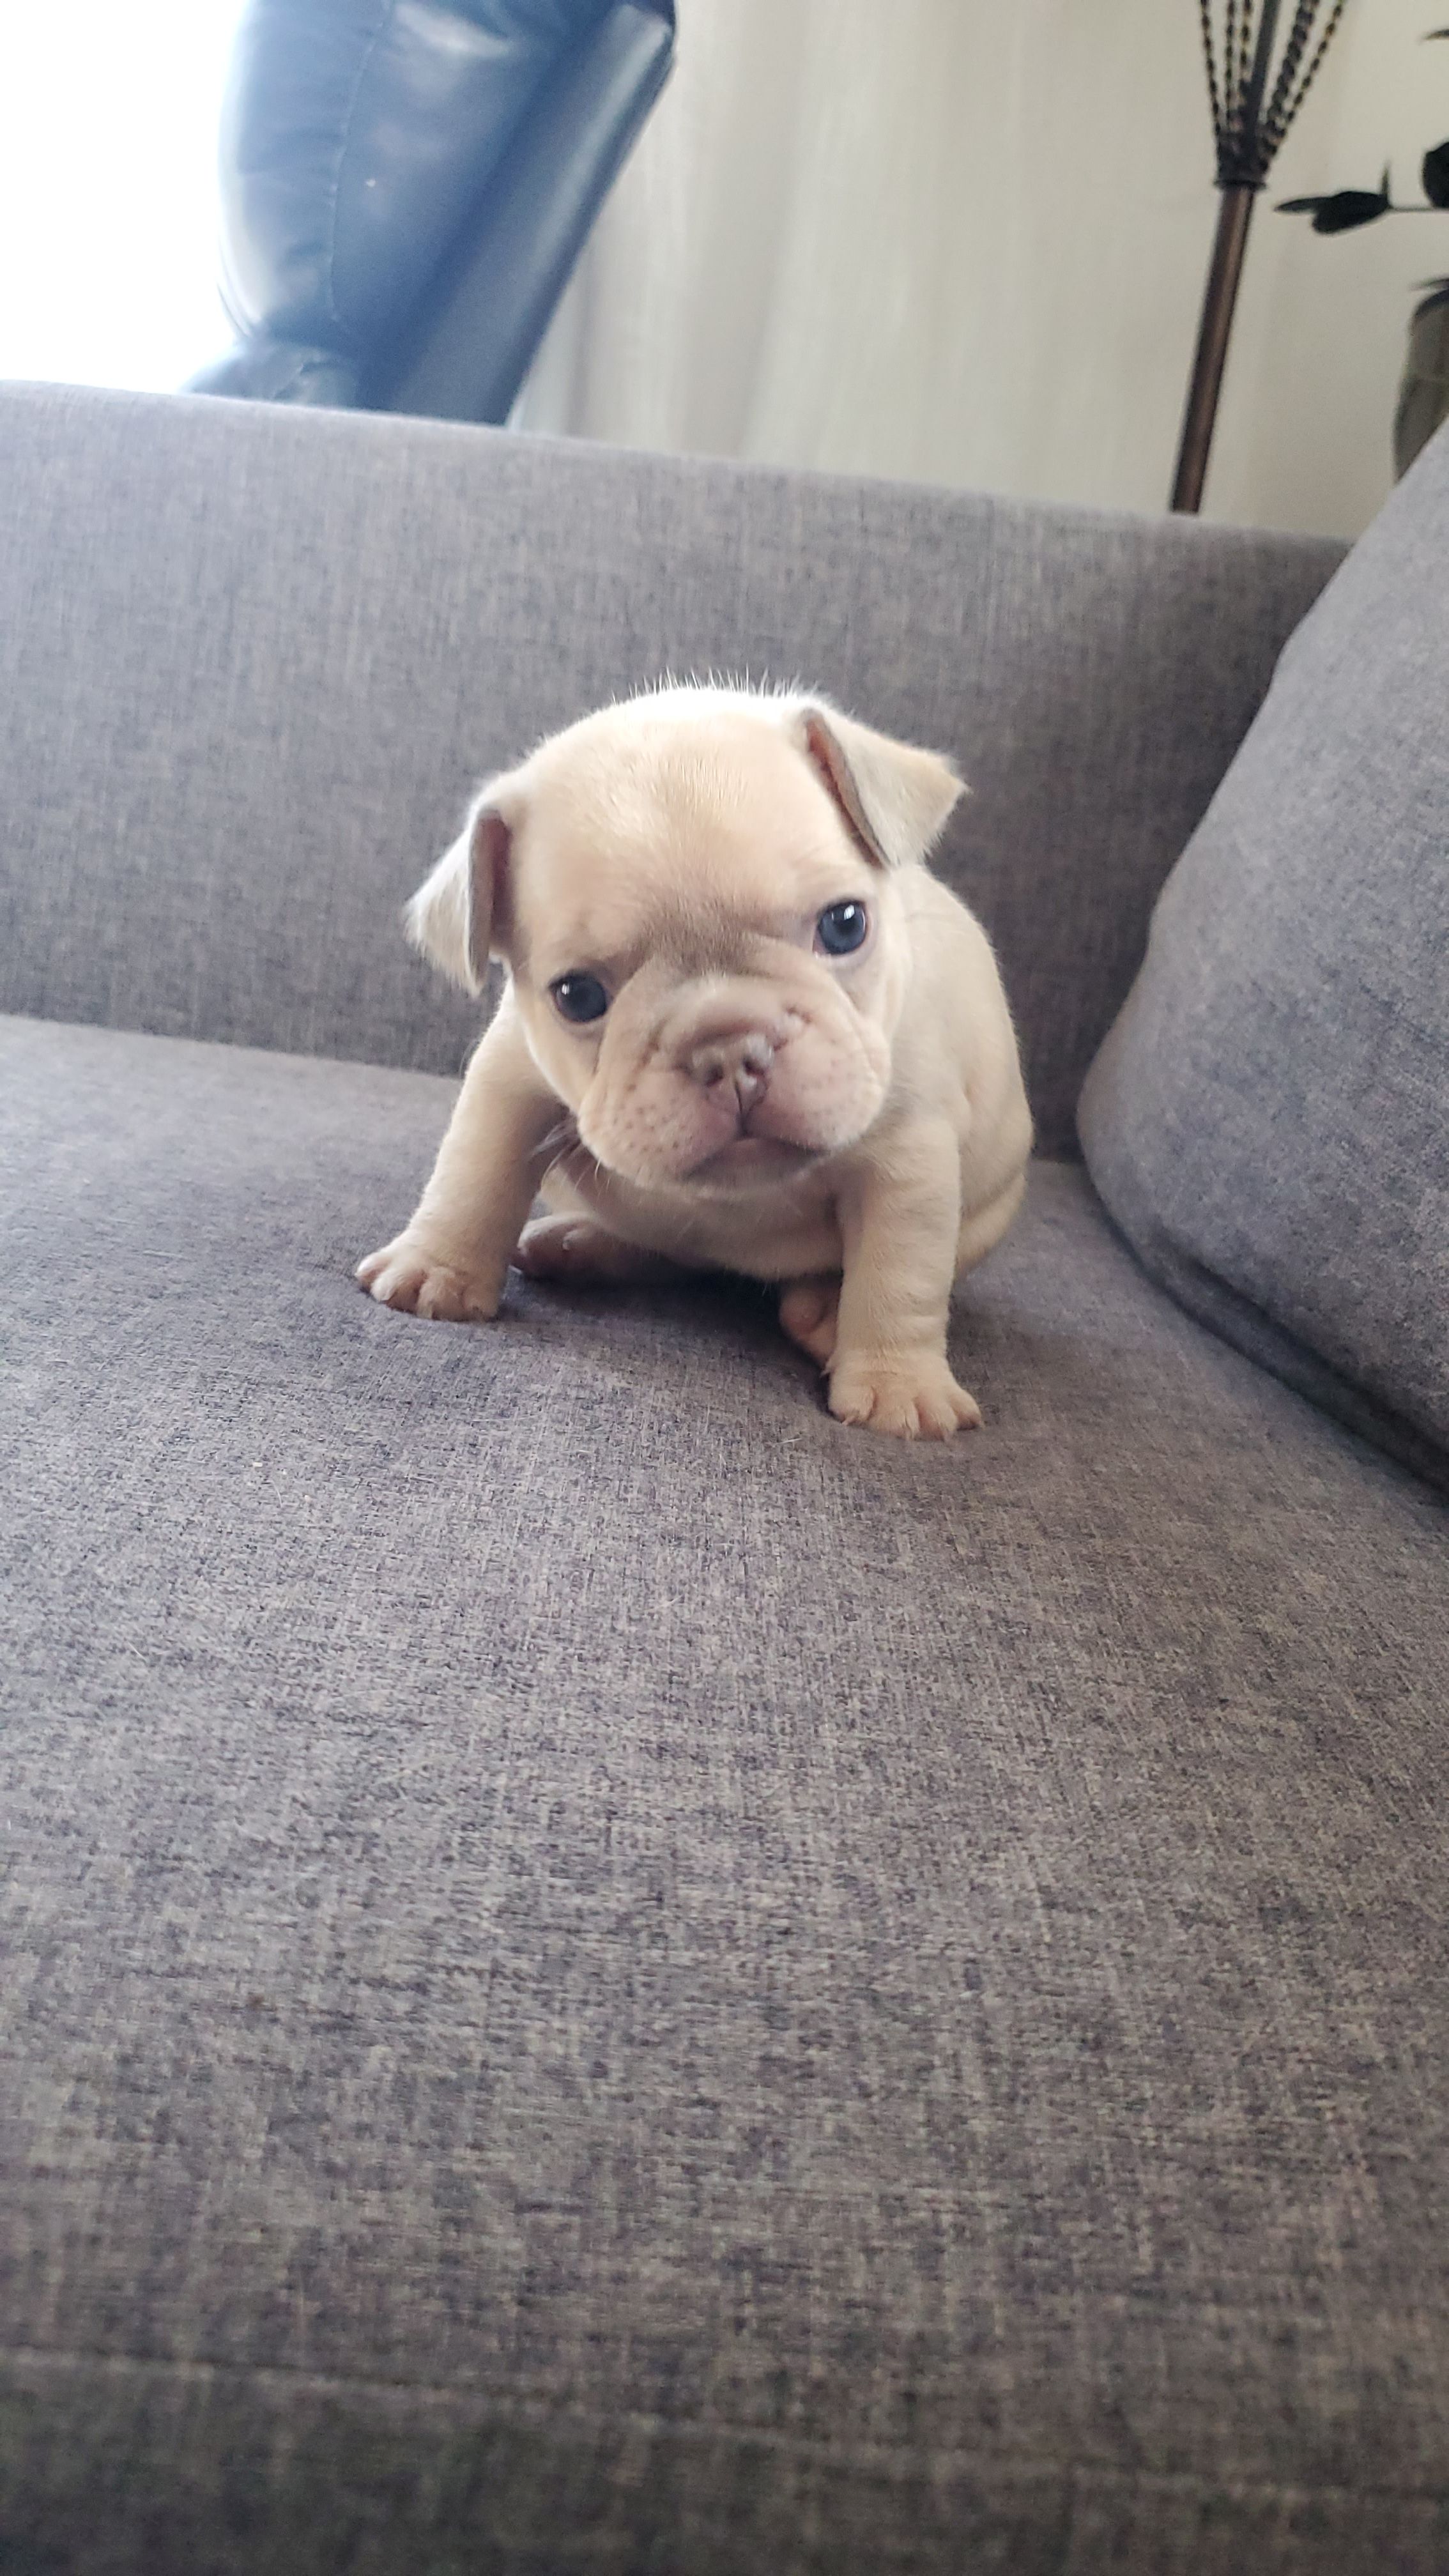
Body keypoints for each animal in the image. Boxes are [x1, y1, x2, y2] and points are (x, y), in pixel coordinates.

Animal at [357, 684, 1032, 1438]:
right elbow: (475, 1173)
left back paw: (825, 1310)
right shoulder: (509, 1079)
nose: (730, 1048)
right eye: (577, 995)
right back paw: (578, 1244)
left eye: (845, 925)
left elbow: (898, 1271)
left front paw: (898, 1387)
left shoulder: (907, 1157)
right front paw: (436, 1269)